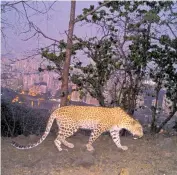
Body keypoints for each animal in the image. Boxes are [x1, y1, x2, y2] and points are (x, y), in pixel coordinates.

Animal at [11, 105, 143, 152]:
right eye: (140, 129)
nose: (142, 135)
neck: (123, 121)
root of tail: (57, 109)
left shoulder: (114, 131)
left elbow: (117, 140)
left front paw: (121, 147)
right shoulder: (98, 128)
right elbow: (92, 138)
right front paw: (89, 147)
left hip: (65, 126)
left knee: (59, 136)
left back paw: (66, 146)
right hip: (72, 127)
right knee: (58, 137)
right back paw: (63, 147)